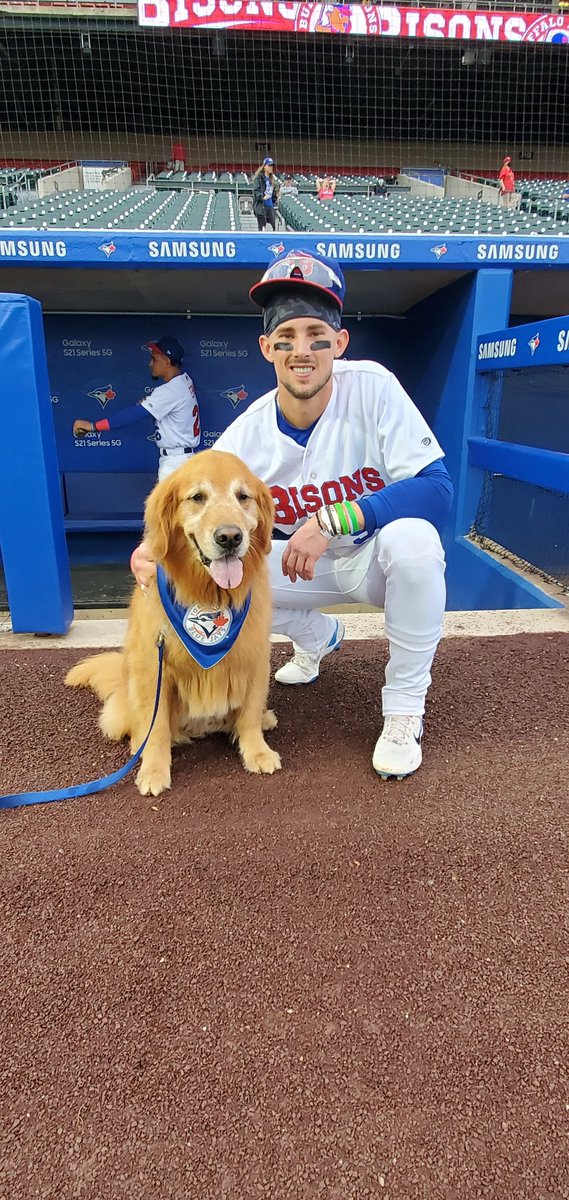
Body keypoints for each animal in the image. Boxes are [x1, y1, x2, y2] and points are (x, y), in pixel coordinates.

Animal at [66, 451, 279, 796]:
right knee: (137, 725)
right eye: (197, 497)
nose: (230, 537)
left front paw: (258, 752)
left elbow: (247, 713)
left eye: (243, 497)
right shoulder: (155, 667)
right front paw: (154, 770)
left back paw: (264, 719)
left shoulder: (254, 656)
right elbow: (157, 729)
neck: (209, 595)